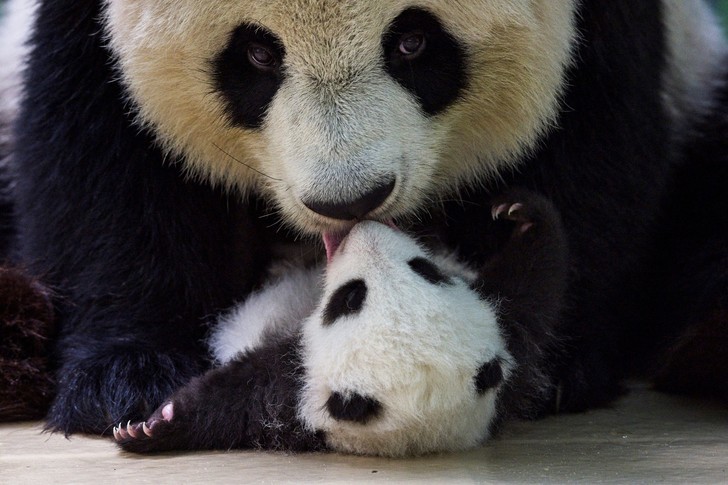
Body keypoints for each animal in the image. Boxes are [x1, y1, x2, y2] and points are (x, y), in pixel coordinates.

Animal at [1, 0, 728, 448]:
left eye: (414, 41)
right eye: (257, 54)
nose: (351, 201)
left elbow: (595, 142)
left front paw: (553, 361)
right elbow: (104, 155)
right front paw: (125, 380)